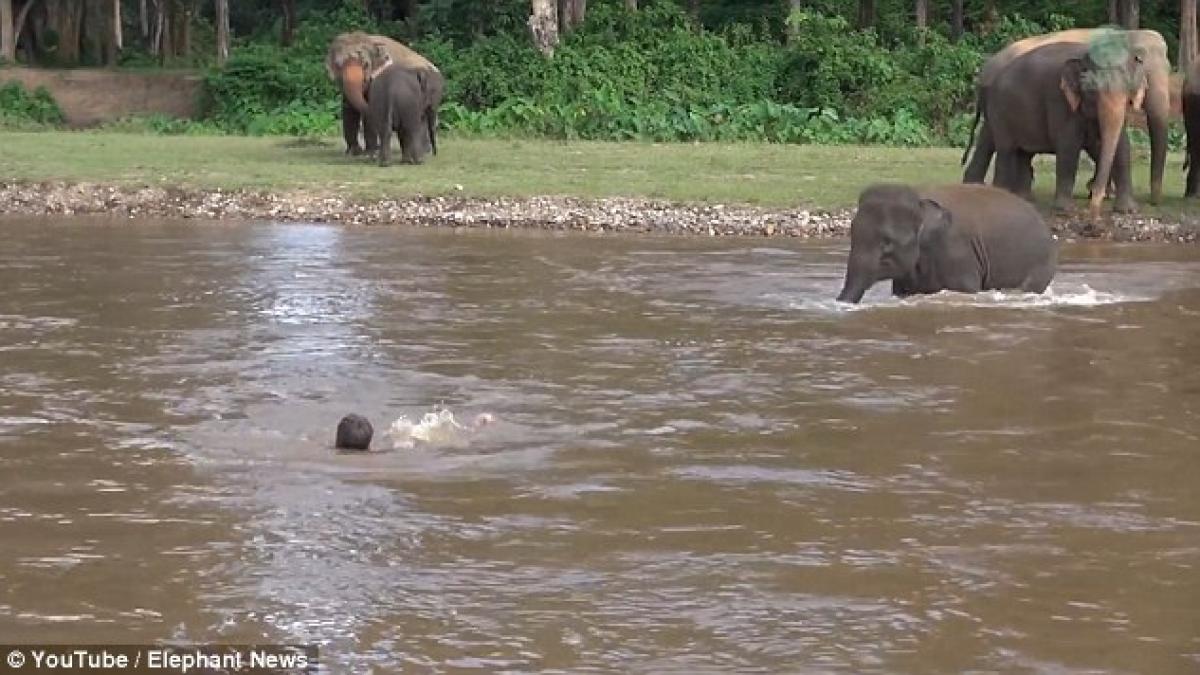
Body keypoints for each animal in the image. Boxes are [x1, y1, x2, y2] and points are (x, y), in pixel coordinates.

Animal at [963, 28, 1171, 206]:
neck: (1125, 33)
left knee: (990, 138)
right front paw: (1096, 191)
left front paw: (1100, 192)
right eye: (1141, 61)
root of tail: (985, 68)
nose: (1154, 203)